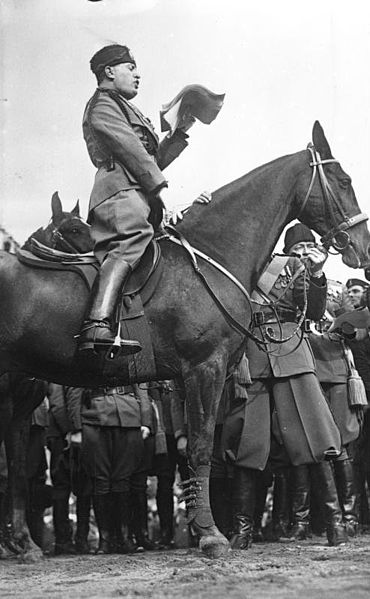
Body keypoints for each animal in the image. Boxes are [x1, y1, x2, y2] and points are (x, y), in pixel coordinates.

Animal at [0, 124, 370, 560]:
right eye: (344, 180)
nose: (361, 248)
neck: (211, 257)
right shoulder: (203, 369)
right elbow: (200, 447)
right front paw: (210, 534)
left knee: (16, 461)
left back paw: (23, 542)